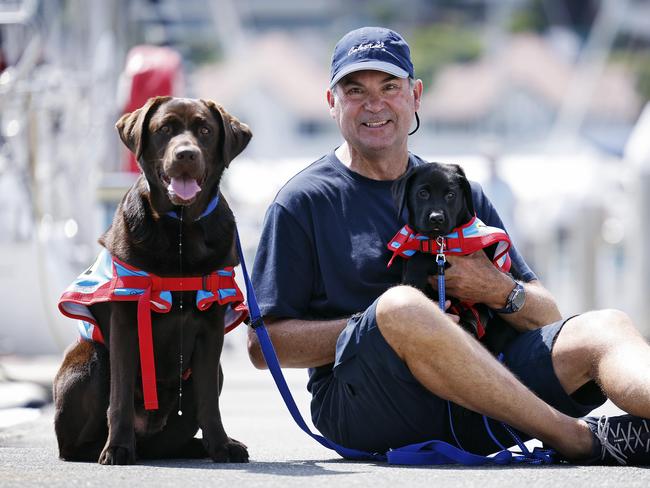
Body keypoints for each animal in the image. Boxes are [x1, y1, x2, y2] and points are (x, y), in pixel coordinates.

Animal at [53, 95, 251, 466]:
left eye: (205, 130)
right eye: (165, 129)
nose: (186, 154)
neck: (180, 230)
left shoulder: (211, 327)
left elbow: (210, 402)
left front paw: (221, 445)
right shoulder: (126, 322)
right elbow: (118, 400)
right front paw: (117, 448)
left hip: (207, 379)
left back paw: (200, 447)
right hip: (91, 359)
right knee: (74, 444)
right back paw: (106, 447)